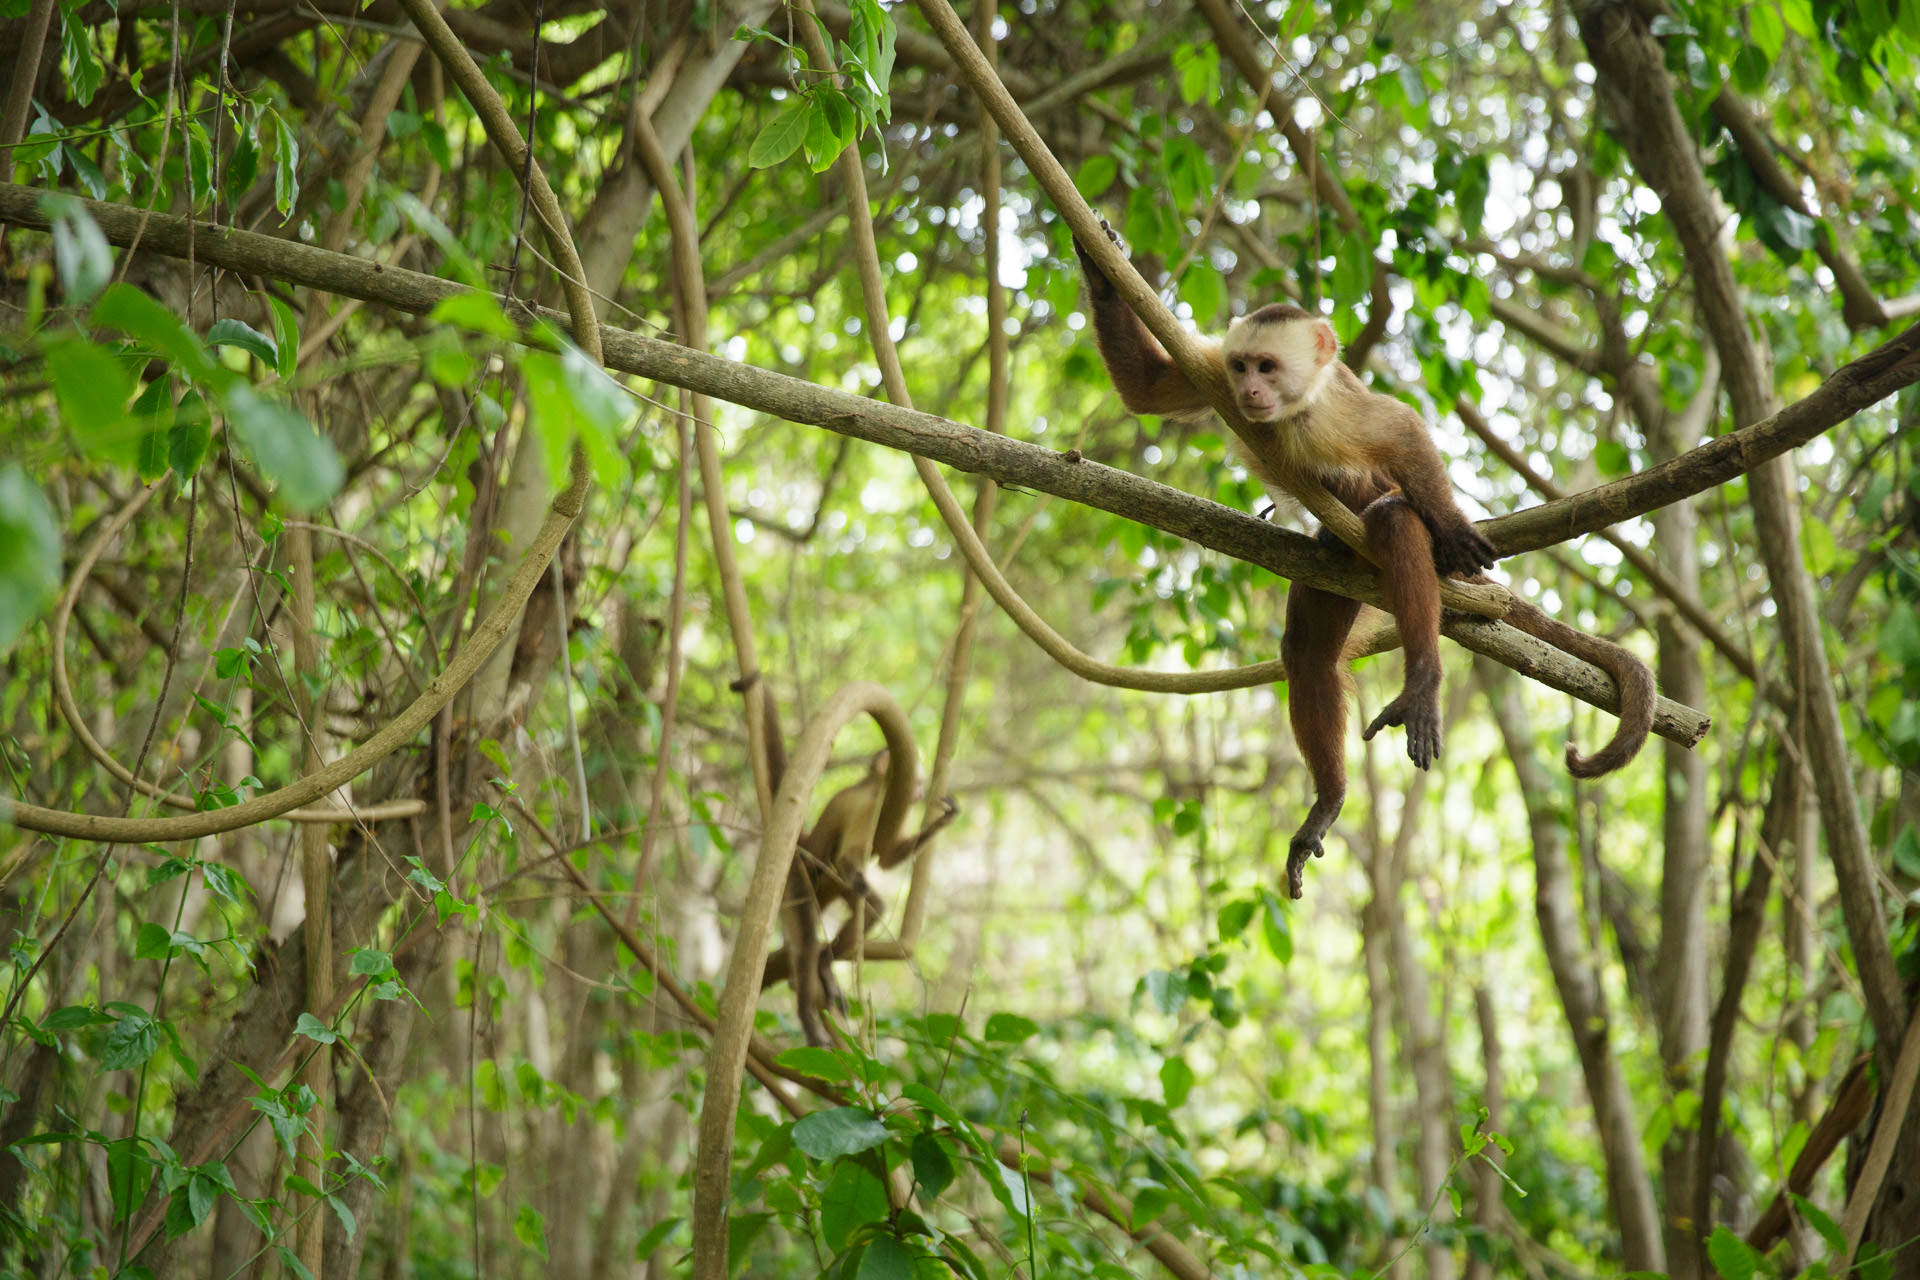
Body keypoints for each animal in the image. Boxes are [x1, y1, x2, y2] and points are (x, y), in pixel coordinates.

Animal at [1075, 225, 1658, 898]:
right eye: (1244, 365)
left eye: (1268, 367)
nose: (1251, 391)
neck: (1294, 411)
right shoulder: (1213, 375)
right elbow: (1146, 389)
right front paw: (1098, 262)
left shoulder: (1333, 413)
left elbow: (1401, 429)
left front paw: (1452, 527)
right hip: (1339, 585)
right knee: (1308, 654)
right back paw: (1328, 797)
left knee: (1394, 522)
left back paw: (1422, 674)